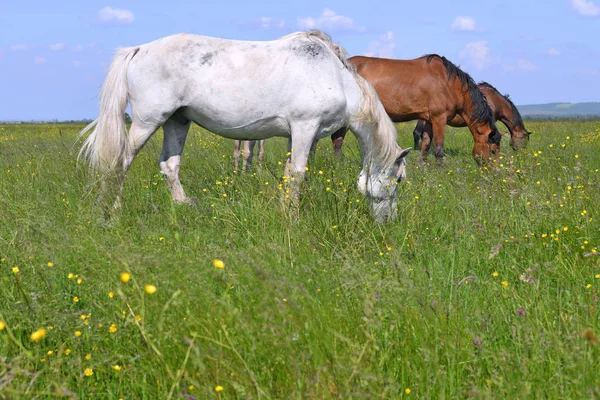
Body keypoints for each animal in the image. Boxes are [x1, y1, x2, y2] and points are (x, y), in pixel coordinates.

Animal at [78, 30, 408, 222]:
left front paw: (286, 209)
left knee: (169, 165)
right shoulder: (305, 127)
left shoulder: (300, 135)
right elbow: (298, 174)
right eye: (400, 179)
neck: (335, 77)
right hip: (149, 120)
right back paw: (111, 211)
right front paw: (293, 217)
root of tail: (138, 49)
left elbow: (291, 173)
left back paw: (185, 205)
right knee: (121, 161)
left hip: (177, 121)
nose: (389, 222)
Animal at [328, 54, 502, 162]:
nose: (495, 173)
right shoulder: (440, 118)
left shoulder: (429, 119)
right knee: (337, 141)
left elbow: (425, 146)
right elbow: (438, 149)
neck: (449, 83)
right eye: (493, 151)